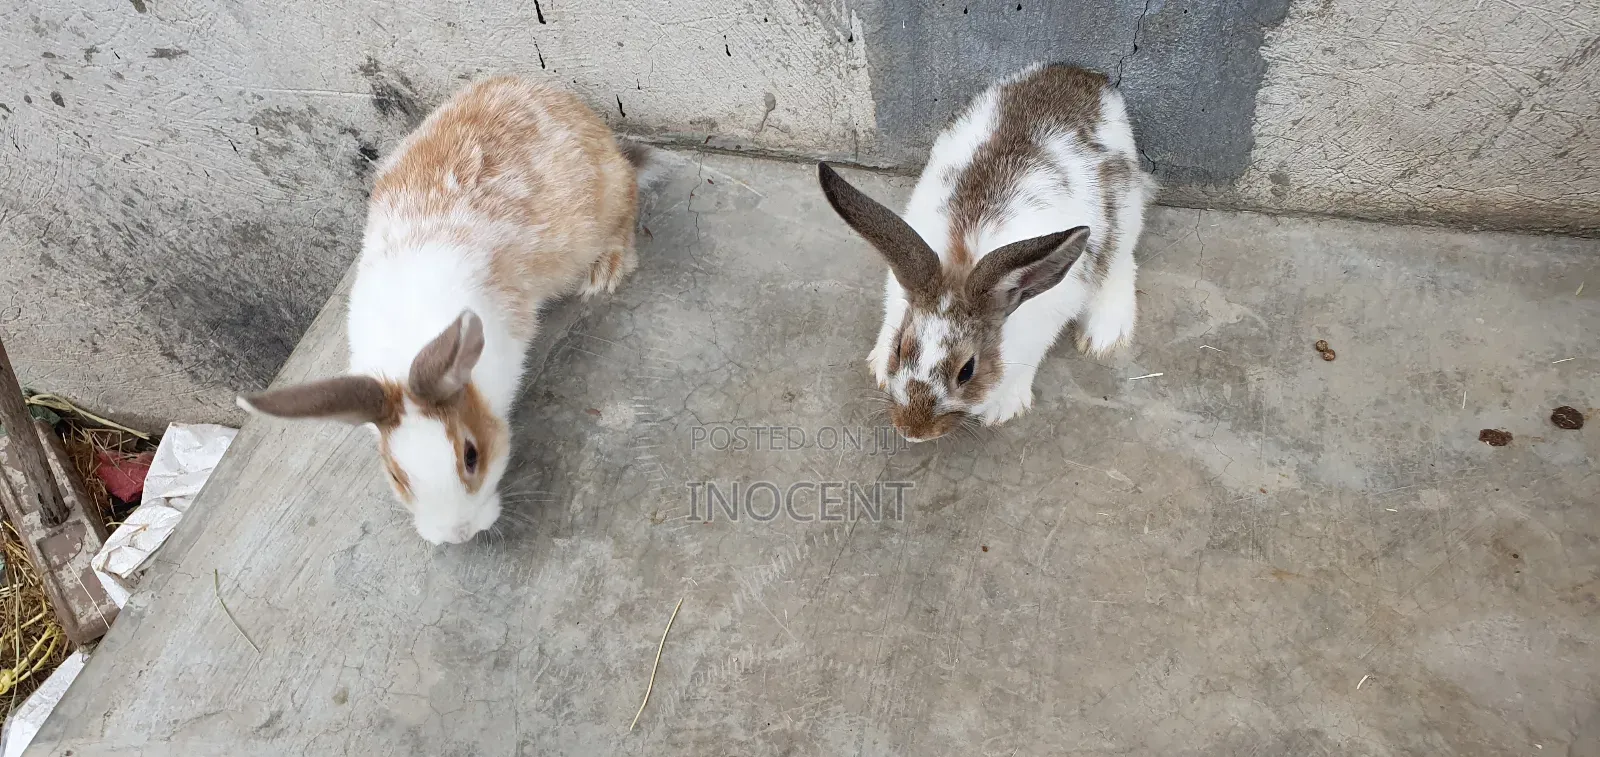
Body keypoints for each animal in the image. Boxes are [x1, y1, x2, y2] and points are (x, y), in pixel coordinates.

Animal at [237, 75, 661, 545]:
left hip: (604, 205)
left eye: (471, 456)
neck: (405, 356)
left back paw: (605, 270)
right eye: (397, 477)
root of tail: (568, 105)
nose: (458, 535)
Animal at [817, 63, 1155, 442]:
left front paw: (1003, 406)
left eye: (967, 371)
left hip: (1126, 218)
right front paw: (878, 364)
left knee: (1123, 264)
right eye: (901, 349)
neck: (965, 263)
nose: (913, 431)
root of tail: (1087, 76)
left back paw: (1104, 334)